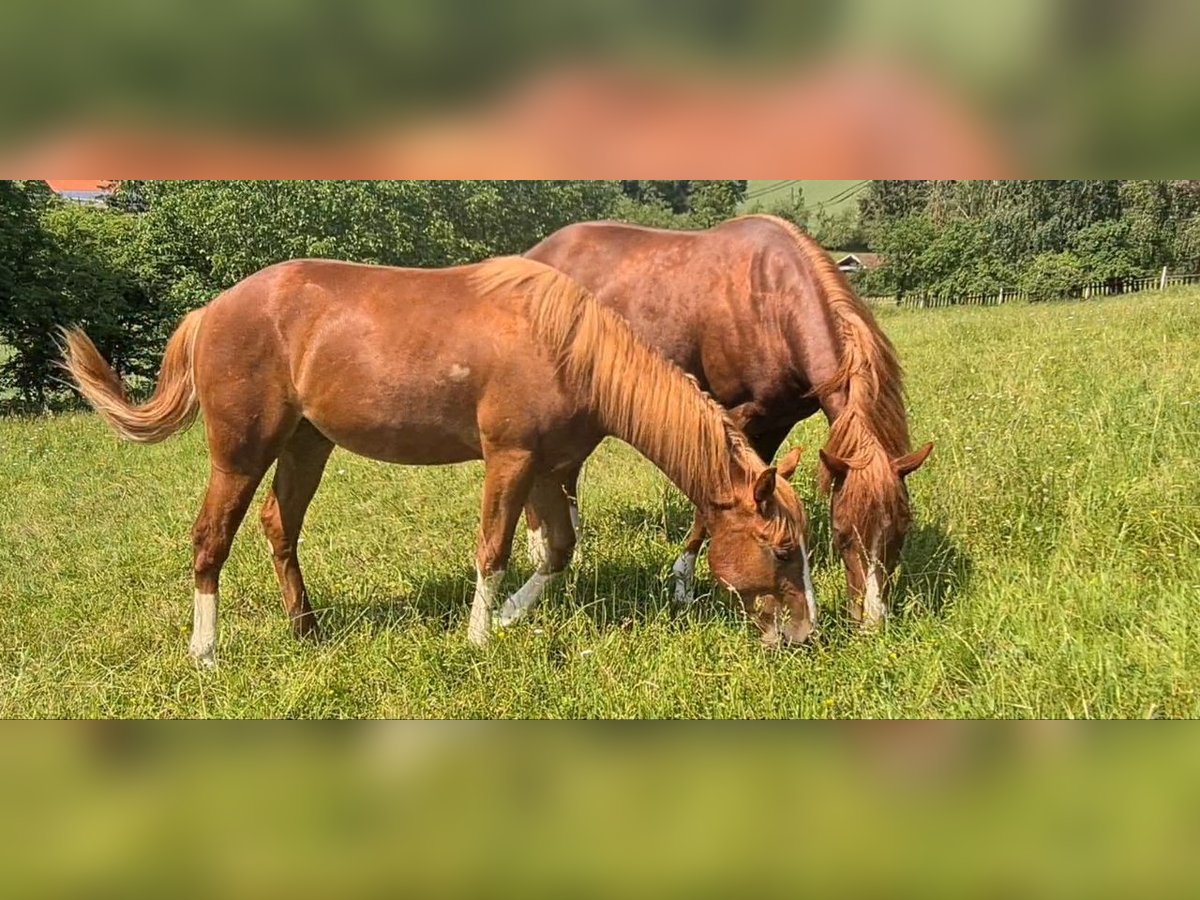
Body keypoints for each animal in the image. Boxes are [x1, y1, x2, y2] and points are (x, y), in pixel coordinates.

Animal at [63, 255, 816, 672]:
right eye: (782, 552)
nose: (805, 637)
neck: (567, 347)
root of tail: (211, 311)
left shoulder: (547, 469)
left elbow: (558, 550)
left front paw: (509, 618)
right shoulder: (510, 460)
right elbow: (494, 549)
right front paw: (480, 637)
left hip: (307, 444)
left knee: (281, 526)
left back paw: (307, 629)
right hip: (241, 453)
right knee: (210, 540)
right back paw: (207, 653)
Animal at [528, 214, 936, 628]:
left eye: (902, 530)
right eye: (841, 533)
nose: (872, 622)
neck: (773, 302)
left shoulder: (776, 422)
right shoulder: (736, 416)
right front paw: (683, 583)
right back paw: (538, 550)